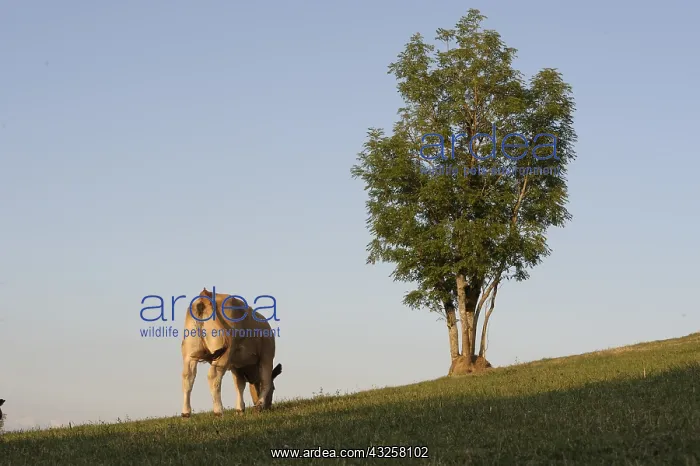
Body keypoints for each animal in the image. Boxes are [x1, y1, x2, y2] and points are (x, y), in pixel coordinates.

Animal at [181, 288, 280, 417]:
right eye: (274, 389)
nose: (269, 406)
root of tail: (206, 295)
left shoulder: (236, 365)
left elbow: (239, 385)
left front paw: (240, 409)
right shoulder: (267, 355)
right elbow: (265, 380)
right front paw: (259, 405)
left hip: (190, 353)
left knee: (187, 377)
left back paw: (186, 413)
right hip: (225, 352)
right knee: (213, 376)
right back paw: (218, 411)